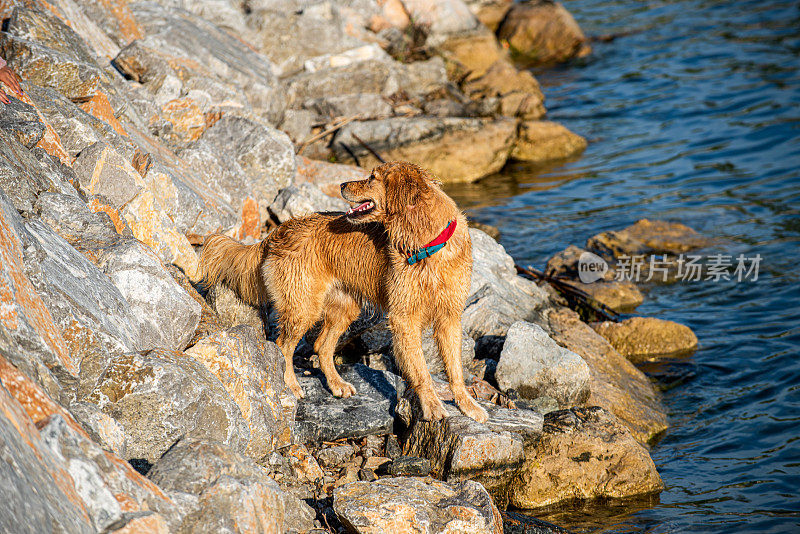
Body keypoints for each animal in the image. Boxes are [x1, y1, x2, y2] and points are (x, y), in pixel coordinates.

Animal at [202, 161, 488, 426]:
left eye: (372, 178)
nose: (341, 185)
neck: (427, 243)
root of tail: (278, 231)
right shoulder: (404, 318)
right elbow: (421, 371)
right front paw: (432, 406)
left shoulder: (450, 317)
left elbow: (455, 370)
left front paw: (467, 406)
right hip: (303, 306)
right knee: (282, 346)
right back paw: (291, 386)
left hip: (344, 308)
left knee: (321, 346)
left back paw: (337, 384)